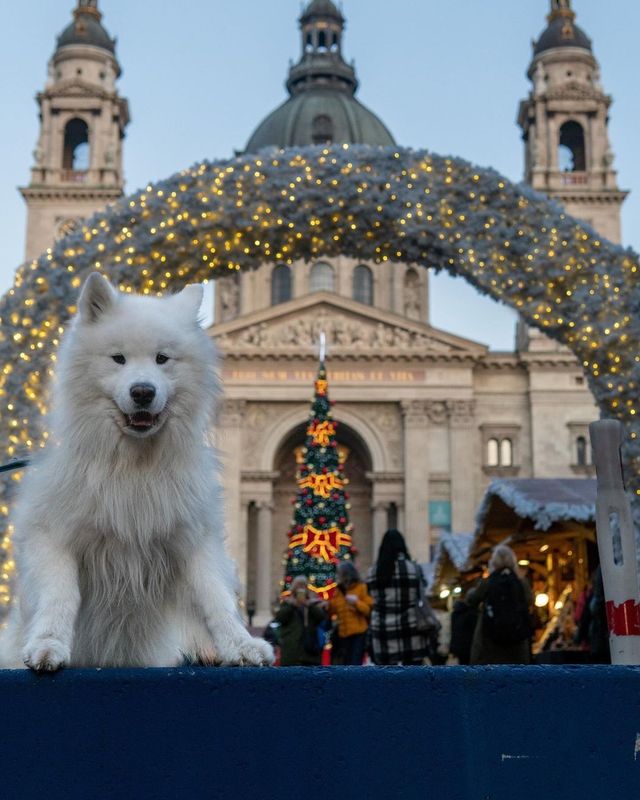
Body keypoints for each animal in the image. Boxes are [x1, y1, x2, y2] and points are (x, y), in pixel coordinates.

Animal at [0, 274, 272, 668]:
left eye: (162, 359)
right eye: (118, 359)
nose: (142, 391)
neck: (134, 467)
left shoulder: (194, 539)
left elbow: (216, 599)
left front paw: (242, 645)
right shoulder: (52, 536)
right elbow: (60, 596)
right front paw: (48, 645)